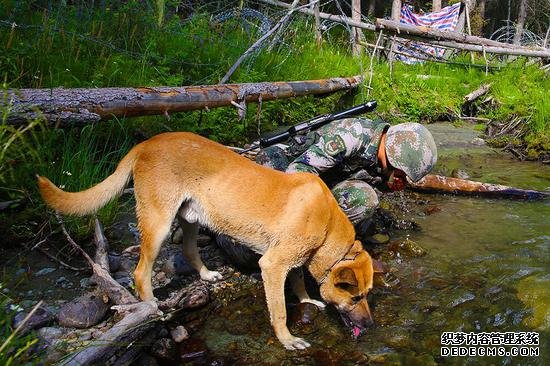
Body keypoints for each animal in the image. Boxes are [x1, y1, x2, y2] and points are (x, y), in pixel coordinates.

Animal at [36, 132, 378, 348]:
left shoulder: (293, 262)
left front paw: (307, 300)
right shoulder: (272, 265)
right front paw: (288, 340)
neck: (328, 225)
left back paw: (205, 274)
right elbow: (280, 310)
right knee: (140, 272)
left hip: (191, 219)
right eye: (356, 298)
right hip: (158, 223)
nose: (372, 326)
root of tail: (146, 143)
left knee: (188, 249)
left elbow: (298, 284)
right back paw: (151, 307)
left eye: (366, 296)